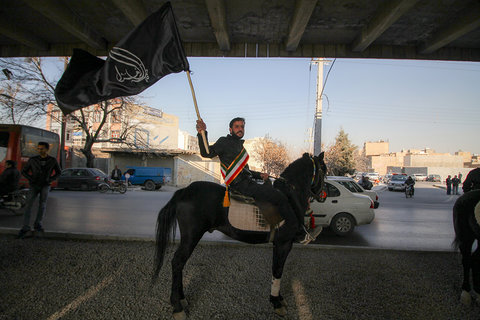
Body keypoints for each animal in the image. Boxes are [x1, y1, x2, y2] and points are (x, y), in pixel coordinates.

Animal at [153, 152, 326, 318]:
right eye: (324, 170)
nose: (323, 194)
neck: (289, 196)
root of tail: (185, 191)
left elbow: (276, 269)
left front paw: (279, 299)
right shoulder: (283, 243)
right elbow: (277, 270)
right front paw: (276, 302)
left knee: (180, 264)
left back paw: (182, 299)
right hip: (191, 237)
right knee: (177, 262)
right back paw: (177, 306)